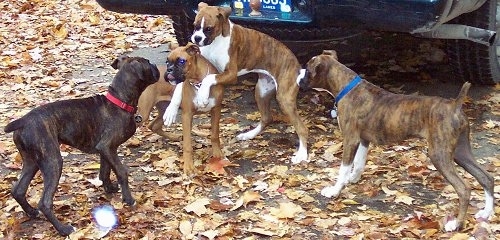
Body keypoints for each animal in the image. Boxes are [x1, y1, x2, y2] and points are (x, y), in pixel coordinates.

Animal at [3, 56, 159, 236]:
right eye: (148, 63)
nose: (156, 65)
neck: (120, 101)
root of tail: (23, 121)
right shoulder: (108, 147)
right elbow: (121, 171)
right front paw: (128, 199)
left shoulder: (105, 149)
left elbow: (105, 171)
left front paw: (109, 188)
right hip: (52, 161)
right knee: (45, 202)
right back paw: (63, 229)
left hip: (32, 161)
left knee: (18, 190)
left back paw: (32, 212)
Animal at [298, 49, 494, 232]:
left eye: (307, 69)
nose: (298, 76)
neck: (346, 86)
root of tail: (455, 105)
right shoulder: (363, 140)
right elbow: (359, 163)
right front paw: (352, 179)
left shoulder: (351, 140)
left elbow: (343, 168)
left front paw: (335, 190)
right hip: (461, 152)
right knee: (486, 177)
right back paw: (485, 213)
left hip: (439, 154)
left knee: (464, 188)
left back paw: (456, 224)